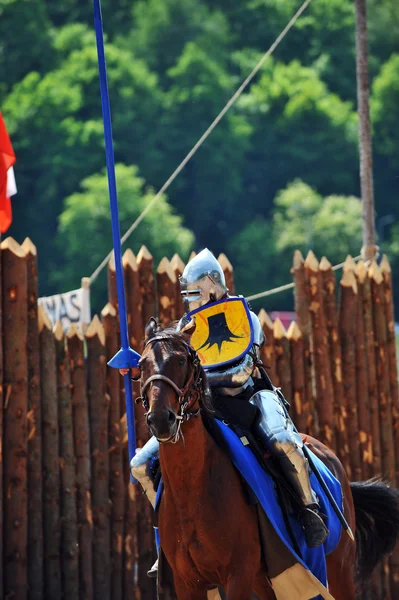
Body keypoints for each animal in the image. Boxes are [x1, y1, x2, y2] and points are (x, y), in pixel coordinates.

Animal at [139, 316, 399, 596]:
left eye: (180, 361)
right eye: (142, 364)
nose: (160, 420)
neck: (193, 492)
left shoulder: (238, 574)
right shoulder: (188, 583)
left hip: (337, 571)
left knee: (281, 440)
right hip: (266, 580)